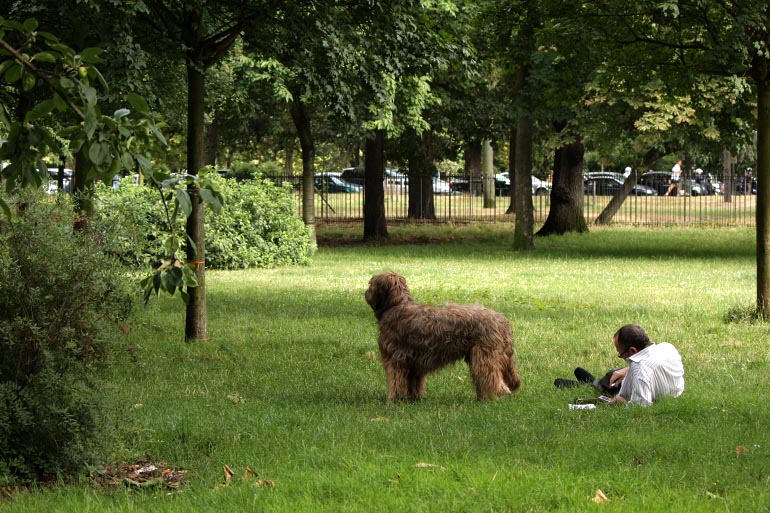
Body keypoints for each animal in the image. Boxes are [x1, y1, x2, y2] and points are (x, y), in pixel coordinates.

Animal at [364, 270, 520, 402]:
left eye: (371, 284)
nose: (366, 293)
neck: (397, 305)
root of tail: (501, 319)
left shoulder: (395, 359)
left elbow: (395, 382)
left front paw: (393, 400)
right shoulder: (414, 363)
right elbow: (414, 383)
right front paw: (415, 399)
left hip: (485, 356)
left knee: (493, 379)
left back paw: (497, 398)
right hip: (480, 357)